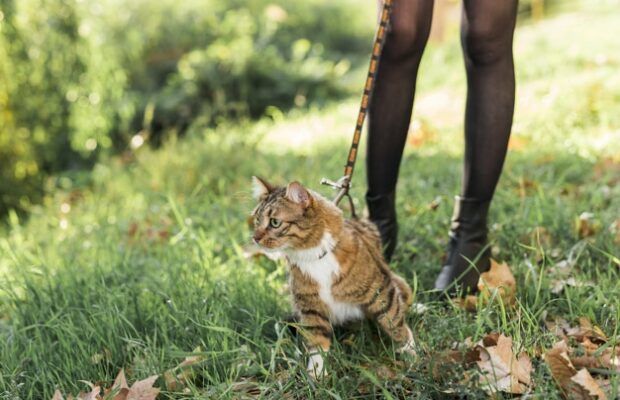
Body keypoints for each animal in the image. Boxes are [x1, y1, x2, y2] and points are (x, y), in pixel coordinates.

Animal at [248, 177, 416, 376]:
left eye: (274, 222)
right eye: (257, 221)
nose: (255, 238)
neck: (312, 256)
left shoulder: (380, 291)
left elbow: (393, 320)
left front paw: (410, 352)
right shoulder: (310, 307)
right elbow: (317, 343)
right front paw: (316, 373)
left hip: (399, 283)